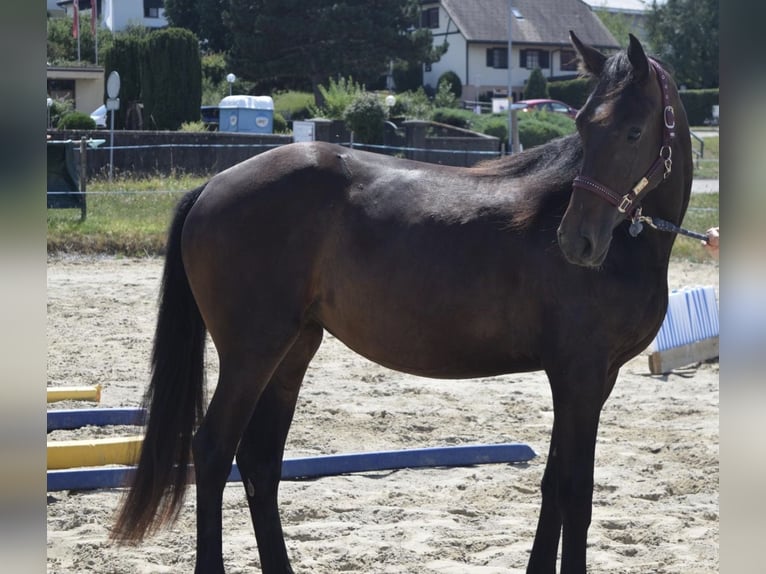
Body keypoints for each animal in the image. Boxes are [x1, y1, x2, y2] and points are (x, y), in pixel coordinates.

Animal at [112, 32, 692, 573]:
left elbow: (557, 486)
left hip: (291, 352)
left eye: (632, 131)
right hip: (251, 353)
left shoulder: (590, 382)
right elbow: (574, 491)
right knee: (213, 452)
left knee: (259, 462)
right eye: (584, 127)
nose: (577, 242)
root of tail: (211, 186)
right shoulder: (579, 375)